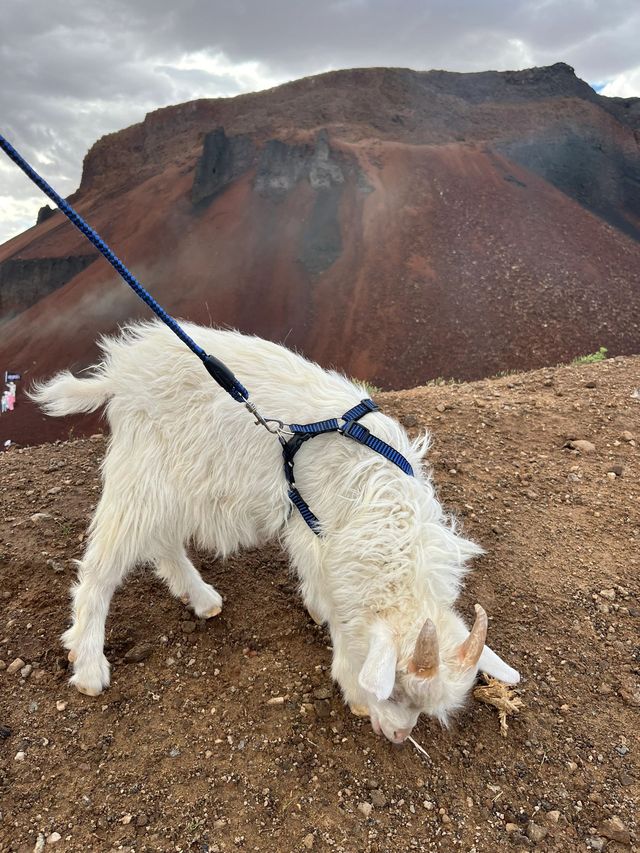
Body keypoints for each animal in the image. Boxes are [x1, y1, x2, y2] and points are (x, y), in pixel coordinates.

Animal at [31, 320, 520, 740]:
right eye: (396, 689)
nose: (399, 737)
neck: (380, 504)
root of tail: (122, 368)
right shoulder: (319, 532)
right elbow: (335, 604)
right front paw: (354, 688)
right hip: (145, 473)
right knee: (102, 567)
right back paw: (89, 665)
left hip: (181, 480)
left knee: (163, 541)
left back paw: (201, 598)